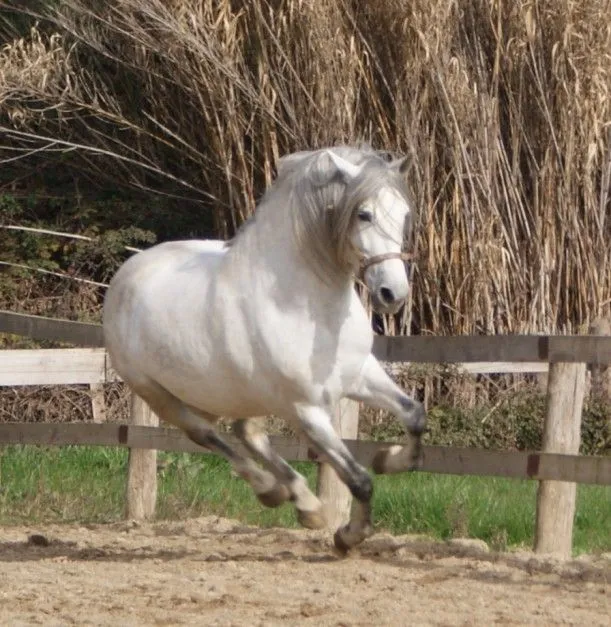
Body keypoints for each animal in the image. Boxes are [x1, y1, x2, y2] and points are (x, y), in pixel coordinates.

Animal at [103, 145, 428, 552]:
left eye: (403, 214)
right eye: (363, 213)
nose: (392, 294)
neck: (310, 308)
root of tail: (126, 274)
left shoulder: (359, 376)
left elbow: (414, 415)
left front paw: (387, 459)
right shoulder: (305, 409)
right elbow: (358, 479)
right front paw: (347, 536)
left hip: (236, 393)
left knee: (246, 432)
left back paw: (304, 503)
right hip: (158, 394)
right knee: (207, 435)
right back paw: (277, 493)